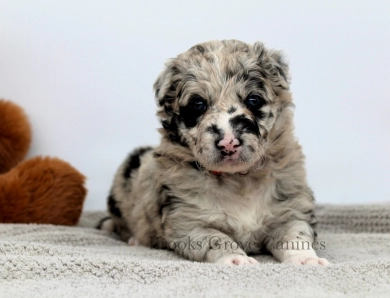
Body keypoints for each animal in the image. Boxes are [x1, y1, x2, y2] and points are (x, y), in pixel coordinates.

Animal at [99, 39, 328, 266]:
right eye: (198, 104)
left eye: (253, 100)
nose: (228, 143)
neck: (238, 180)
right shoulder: (189, 222)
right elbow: (216, 239)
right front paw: (236, 259)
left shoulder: (290, 211)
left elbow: (296, 236)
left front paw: (307, 259)